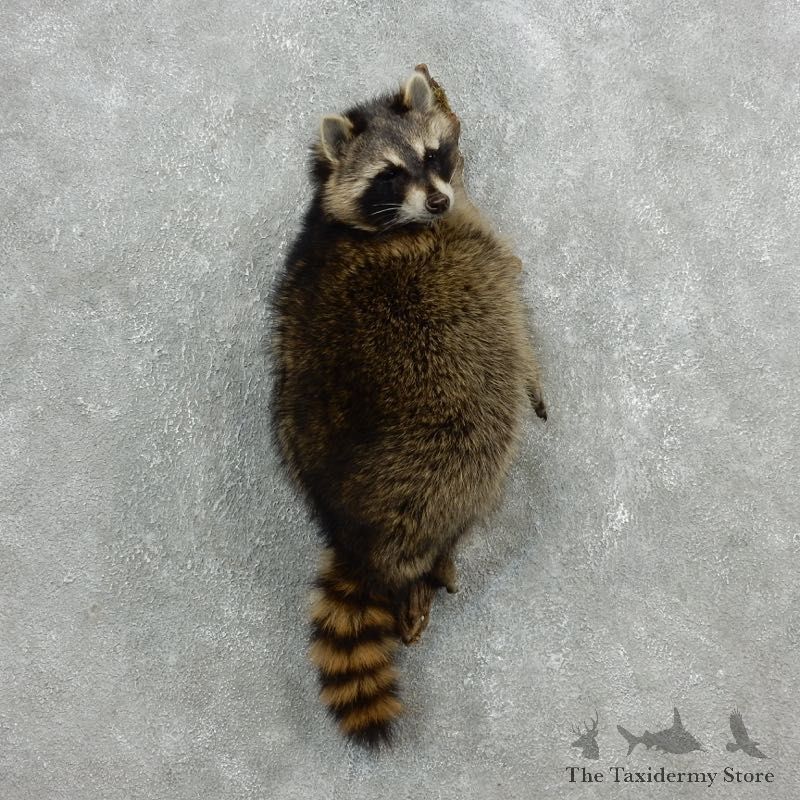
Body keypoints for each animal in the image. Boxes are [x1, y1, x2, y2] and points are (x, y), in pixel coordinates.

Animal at [271, 69, 547, 746]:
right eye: (388, 175)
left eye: (431, 155)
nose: (440, 202)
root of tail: (357, 537)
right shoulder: (474, 254)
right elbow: (513, 317)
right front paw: (535, 373)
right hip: (445, 441)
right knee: (483, 436)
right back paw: (434, 560)